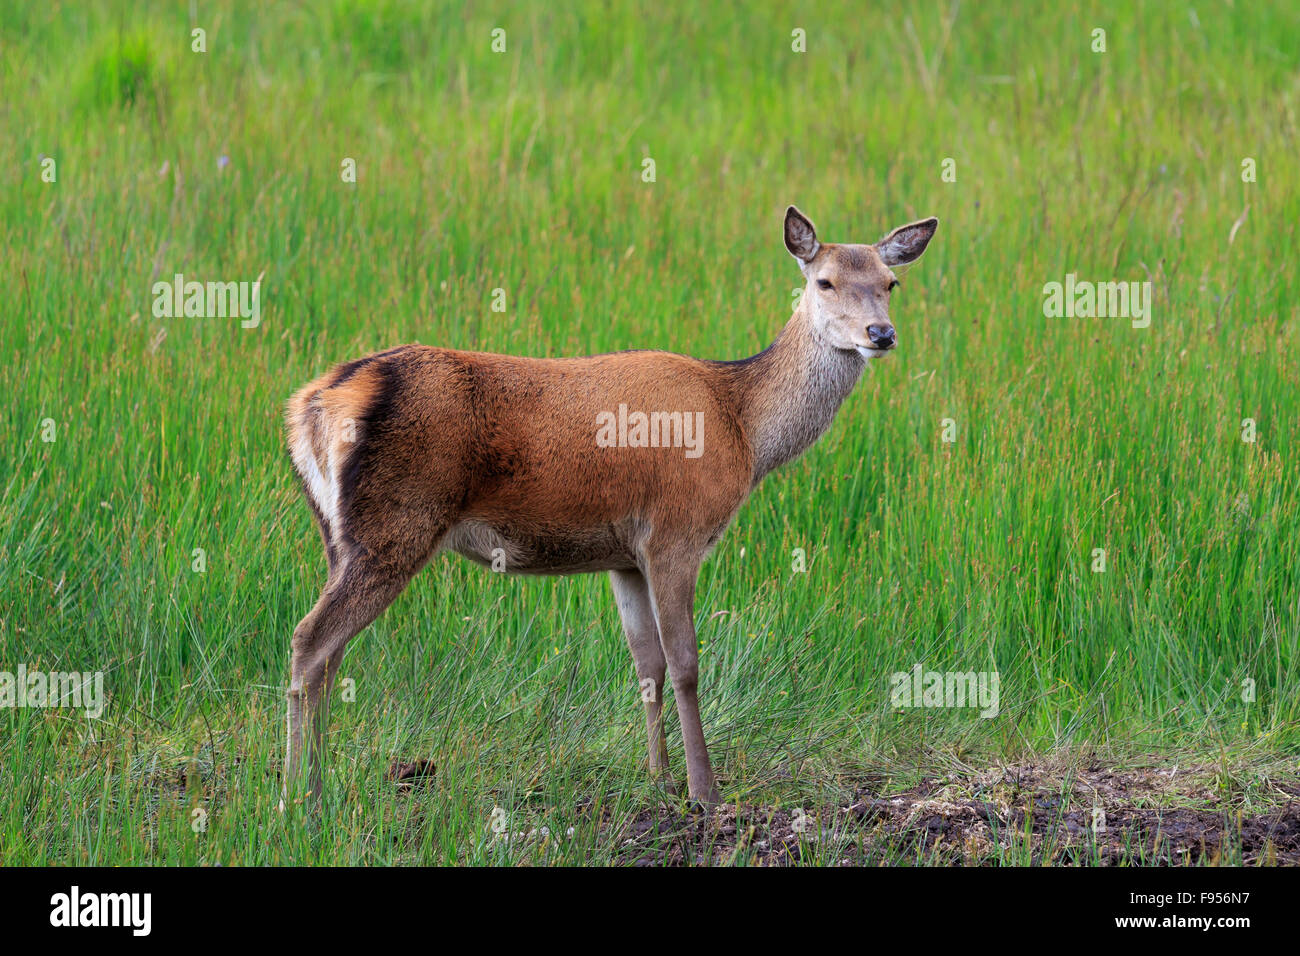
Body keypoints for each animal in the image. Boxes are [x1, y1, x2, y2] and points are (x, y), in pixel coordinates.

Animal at [282, 208, 935, 806]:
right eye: (824, 281)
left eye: (890, 283)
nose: (881, 334)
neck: (745, 428)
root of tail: (313, 402)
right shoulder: (675, 532)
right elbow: (686, 661)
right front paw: (705, 793)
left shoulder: (624, 555)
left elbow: (646, 664)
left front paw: (659, 779)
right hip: (396, 522)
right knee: (310, 638)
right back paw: (301, 799)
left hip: (337, 534)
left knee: (328, 652)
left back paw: (316, 783)